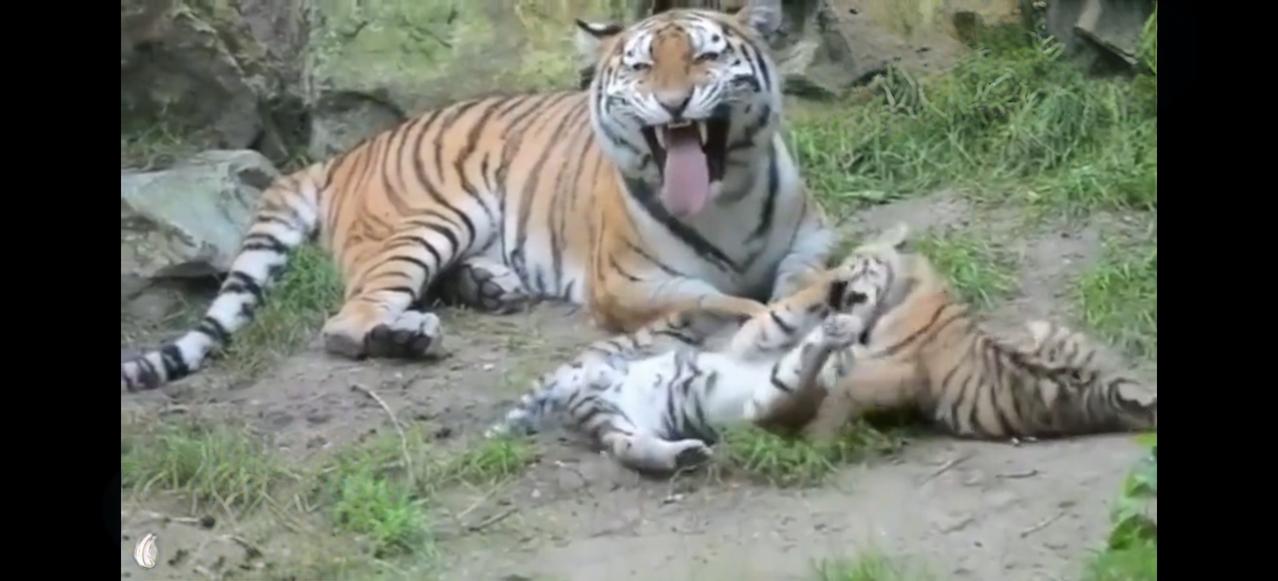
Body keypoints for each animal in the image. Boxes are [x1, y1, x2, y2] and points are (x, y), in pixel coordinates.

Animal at [120, 0, 835, 392]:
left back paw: (488, 286)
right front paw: (773, 321)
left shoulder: (811, 242)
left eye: (706, 58)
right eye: (640, 67)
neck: (723, 198)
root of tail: (344, 152)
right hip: (428, 221)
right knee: (348, 318)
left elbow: (801, 278)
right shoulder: (630, 283)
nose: (674, 102)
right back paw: (406, 336)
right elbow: (725, 300)